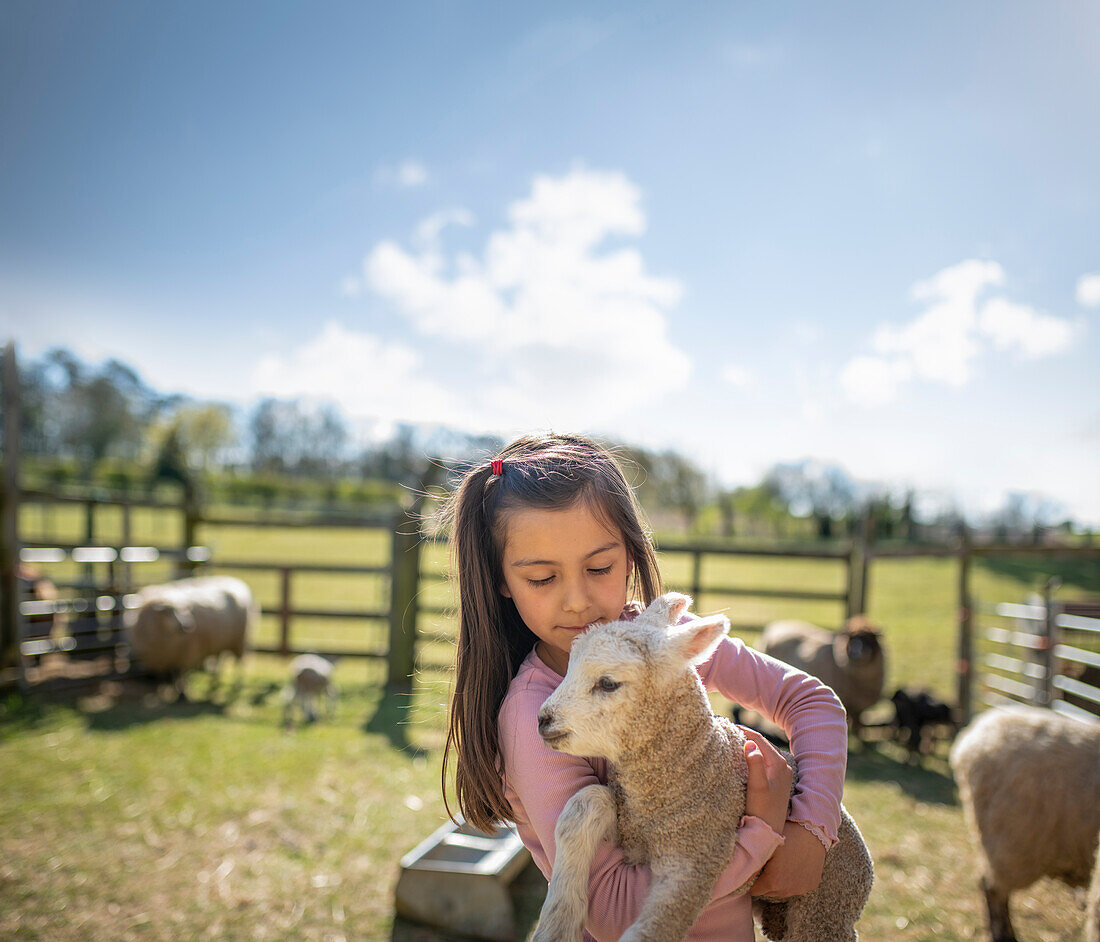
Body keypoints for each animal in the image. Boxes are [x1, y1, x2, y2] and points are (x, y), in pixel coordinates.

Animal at [124, 572, 255, 695]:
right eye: (167, 611)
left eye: (184, 610)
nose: (187, 625)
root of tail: (238, 582)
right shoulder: (163, 658)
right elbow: (167, 675)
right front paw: (167, 690)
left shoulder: (186, 654)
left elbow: (182, 674)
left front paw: (182, 693)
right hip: (221, 641)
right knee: (219, 661)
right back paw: (214, 683)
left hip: (240, 640)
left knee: (239, 664)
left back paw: (238, 684)